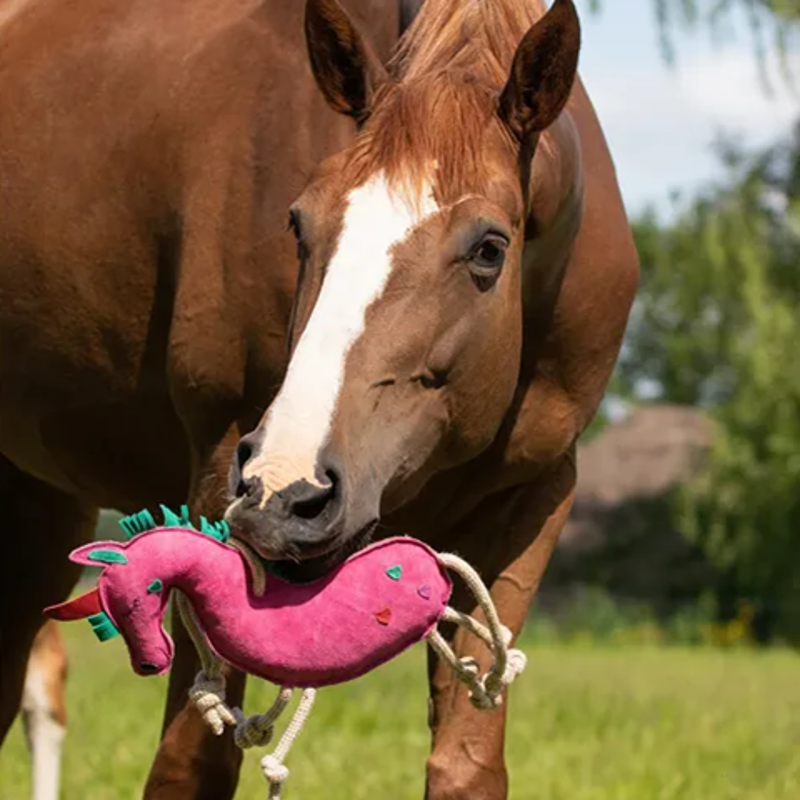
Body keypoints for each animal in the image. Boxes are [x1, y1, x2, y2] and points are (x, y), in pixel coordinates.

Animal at [0, 1, 638, 799]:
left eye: (490, 249)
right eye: (300, 225)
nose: (285, 492)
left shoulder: (528, 506)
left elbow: (466, 764)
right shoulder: (217, 471)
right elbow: (191, 762)